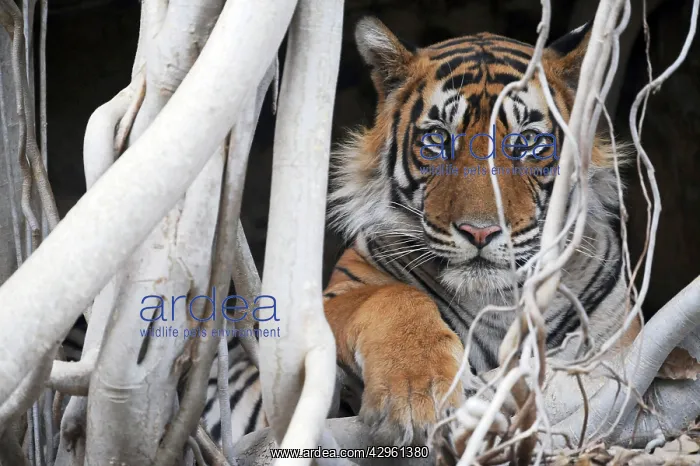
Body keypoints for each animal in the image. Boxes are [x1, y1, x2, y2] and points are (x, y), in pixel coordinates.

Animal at [322, 16, 637, 447]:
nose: (480, 231)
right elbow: (392, 296)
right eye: (438, 139)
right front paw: (416, 395)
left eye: (527, 142)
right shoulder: (327, 297)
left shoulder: (619, 337)